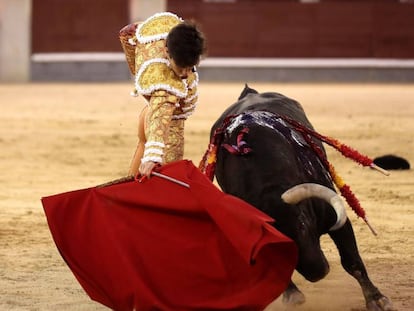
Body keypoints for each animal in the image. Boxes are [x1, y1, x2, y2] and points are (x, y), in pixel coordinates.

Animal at [205, 85, 392, 311]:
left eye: (302, 224)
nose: (318, 273)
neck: (268, 185)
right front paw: (292, 295)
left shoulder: (336, 217)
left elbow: (352, 261)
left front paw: (377, 299)